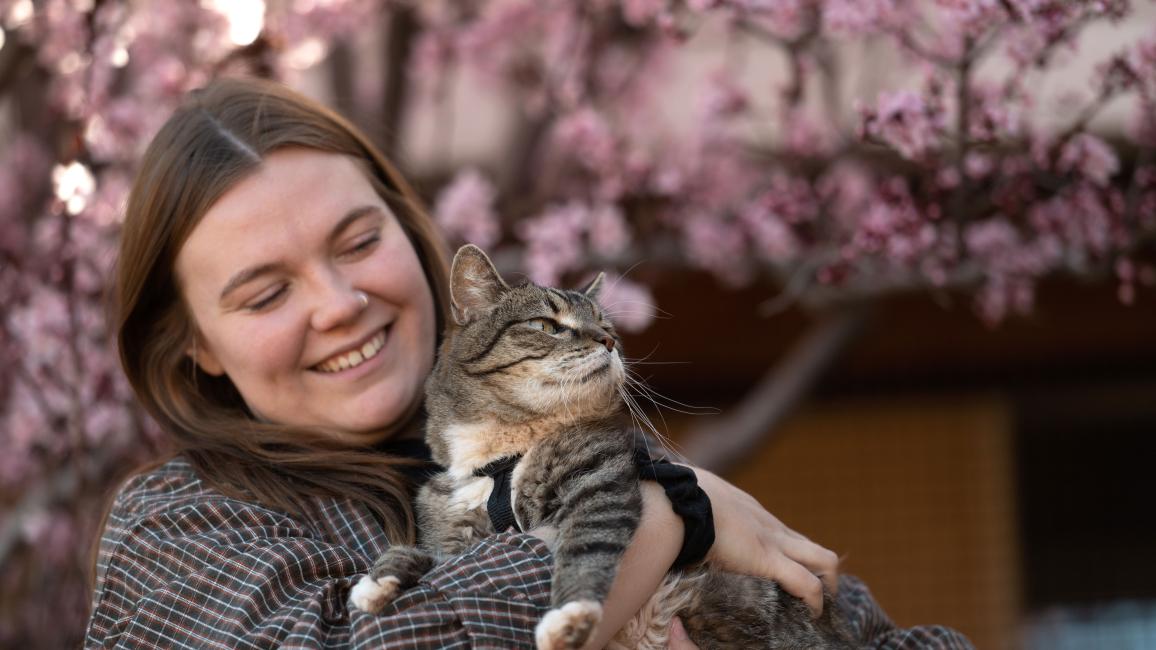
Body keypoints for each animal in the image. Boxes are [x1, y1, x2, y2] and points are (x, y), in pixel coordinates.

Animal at [346, 244, 855, 647]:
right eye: (547, 325)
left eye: (606, 324)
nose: (609, 340)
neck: (500, 461)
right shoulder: (453, 530)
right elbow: (434, 563)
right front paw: (378, 580)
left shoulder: (600, 485)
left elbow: (585, 551)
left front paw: (569, 618)